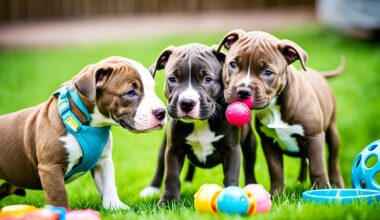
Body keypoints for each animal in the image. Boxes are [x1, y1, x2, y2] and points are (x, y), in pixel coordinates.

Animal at [0, 55, 166, 209]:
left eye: (153, 88)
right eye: (130, 92)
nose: (162, 112)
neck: (90, 125)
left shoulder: (103, 160)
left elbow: (109, 184)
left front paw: (115, 206)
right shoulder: (51, 168)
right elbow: (58, 195)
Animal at [217, 30, 344, 193]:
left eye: (268, 72)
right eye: (233, 64)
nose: (243, 91)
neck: (274, 108)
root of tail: (318, 73)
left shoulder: (314, 137)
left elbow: (317, 167)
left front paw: (320, 191)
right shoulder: (268, 142)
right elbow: (275, 170)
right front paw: (276, 194)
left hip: (332, 131)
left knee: (333, 159)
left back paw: (336, 184)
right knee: (304, 160)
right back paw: (301, 181)